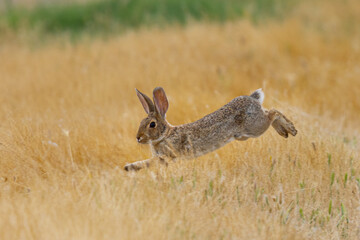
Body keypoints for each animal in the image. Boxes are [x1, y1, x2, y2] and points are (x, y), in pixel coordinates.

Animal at [124, 86, 298, 171]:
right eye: (141, 121)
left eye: (152, 124)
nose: (138, 137)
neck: (165, 134)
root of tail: (253, 99)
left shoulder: (168, 155)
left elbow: (151, 161)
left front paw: (130, 167)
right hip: (244, 135)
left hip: (255, 126)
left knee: (273, 112)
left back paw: (289, 129)